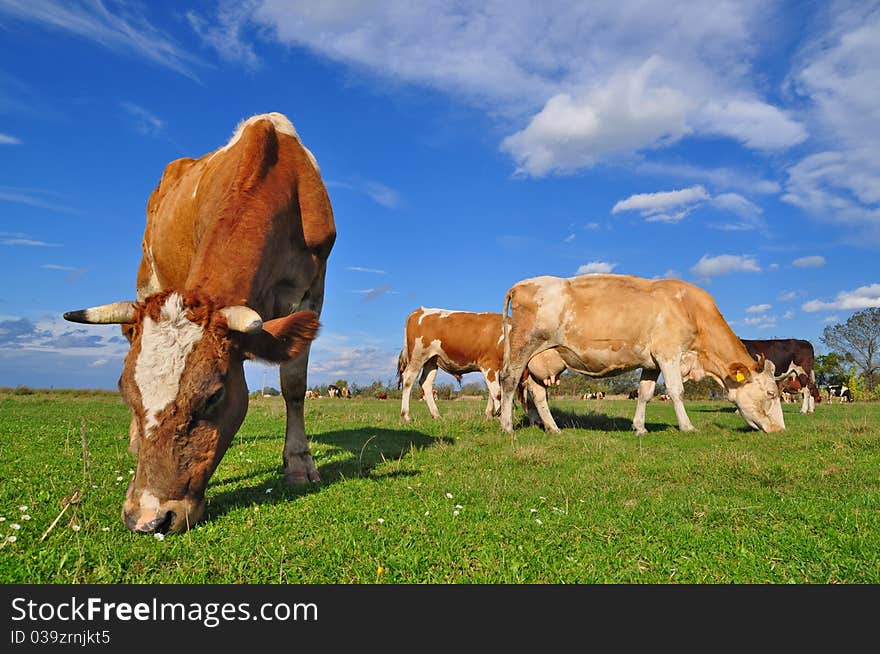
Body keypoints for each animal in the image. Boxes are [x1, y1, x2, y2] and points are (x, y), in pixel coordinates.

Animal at [63, 111, 336, 532]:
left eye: (214, 395)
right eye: (123, 389)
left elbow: (293, 386)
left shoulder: (312, 291)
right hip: (148, 276)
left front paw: (299, 464)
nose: (148, 517)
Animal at [498, 276, 788, 436]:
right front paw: (687, 427)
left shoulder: (652, 362)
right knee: (509, 381)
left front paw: (639, 427)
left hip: (541, 359)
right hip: (523, 347)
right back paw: (507, 425)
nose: (780, 430)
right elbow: (676, 390)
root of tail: (522, 284)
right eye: (771, 393)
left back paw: (553, 428)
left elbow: (645, 393)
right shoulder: (669, 353)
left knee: (537, 393)